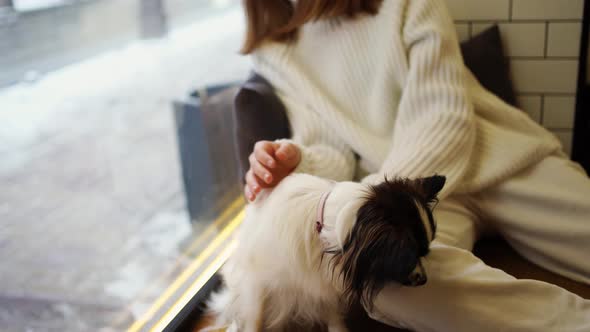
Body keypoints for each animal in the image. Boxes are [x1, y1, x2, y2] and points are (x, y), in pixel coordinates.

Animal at [210, 172, 446, 330]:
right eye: (408, 258)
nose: (425, 280)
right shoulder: (257, 281)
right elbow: (255, 317)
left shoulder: (325, 286)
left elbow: (332, 313)